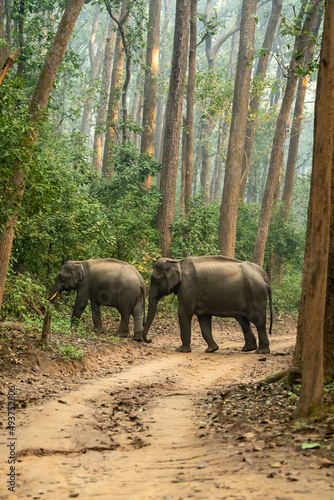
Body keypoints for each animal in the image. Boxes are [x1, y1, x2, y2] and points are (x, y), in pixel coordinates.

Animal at [142, 256, 272, 354]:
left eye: (154, 280)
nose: (150, 340)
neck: (177, 261)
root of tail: (263, 274)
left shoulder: (188, 287)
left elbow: (184, 313)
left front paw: (181, 350)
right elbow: (203, 318)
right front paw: (212, 350)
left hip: (256, 293)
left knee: (258, 321)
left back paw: (261, 351)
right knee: (242, 319)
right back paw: (248, 349)